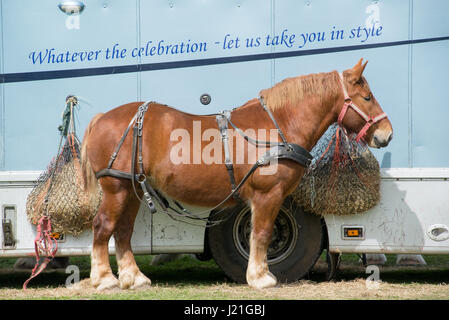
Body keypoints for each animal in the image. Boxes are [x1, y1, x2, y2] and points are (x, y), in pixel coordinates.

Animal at [81, 58, 392, 290]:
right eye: (367, 97)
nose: (386, 134)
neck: (278, 127)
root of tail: (102, 118)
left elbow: (259, 233)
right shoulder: (268, 194)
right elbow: (262, 233)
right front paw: (260, 278)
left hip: (131, 189)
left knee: (122, 231)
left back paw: (134, 278)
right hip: (115, 188)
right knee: (103, 226)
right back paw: (104, 279)